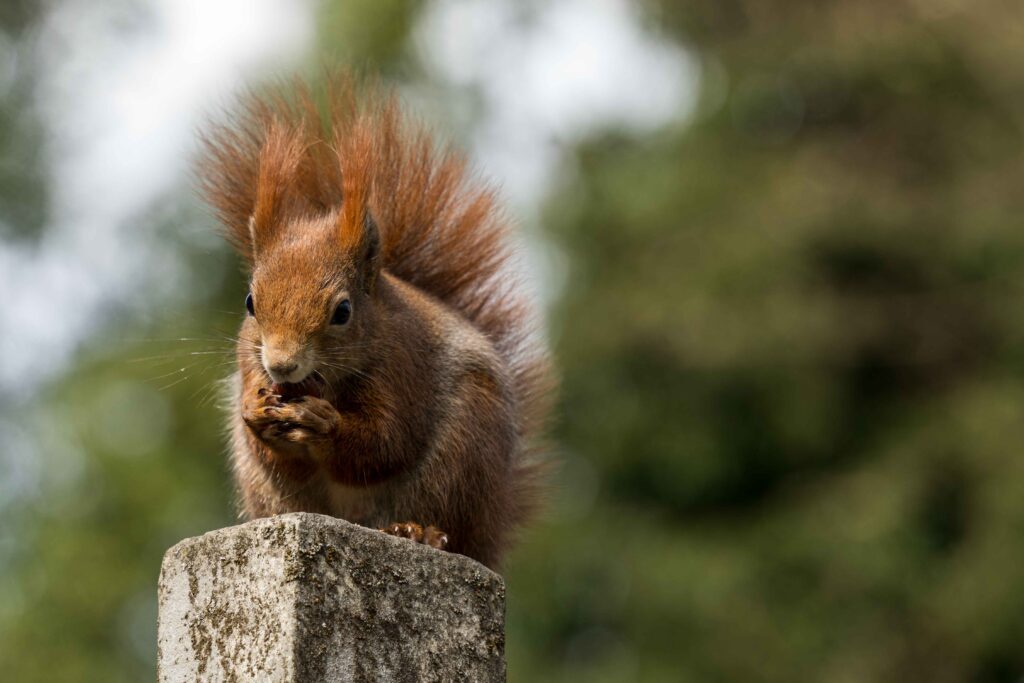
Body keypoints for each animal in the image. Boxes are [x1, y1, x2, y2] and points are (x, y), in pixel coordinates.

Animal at [196, 75, 553, 569]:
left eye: (343, 312)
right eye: (250, 302)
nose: (282, 365)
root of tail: (490, 534)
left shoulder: (403, 367)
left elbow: (386, 443)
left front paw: (323, 422)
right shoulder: (250, 364)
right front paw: (254, 410)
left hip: (462, 459)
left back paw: (418, 532)